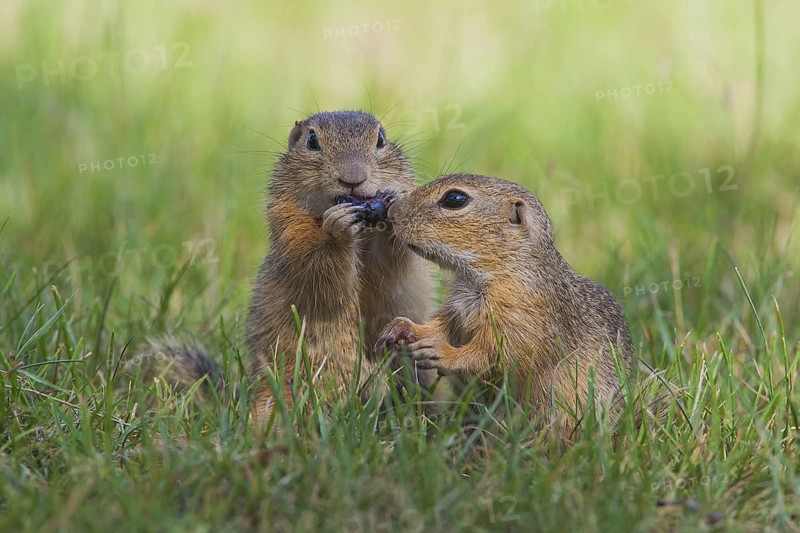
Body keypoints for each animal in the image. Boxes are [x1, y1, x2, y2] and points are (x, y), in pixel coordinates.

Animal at [139, 111, 436, 421]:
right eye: (312, 140)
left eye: (380, 139)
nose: (353, 178)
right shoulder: (292, 230)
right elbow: (320, 268)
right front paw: (338, 229)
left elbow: (391, 264)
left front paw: (396, 197)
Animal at [375, 173, 634, 435]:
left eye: (455, 199)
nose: (393, 211)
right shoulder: (457, 310)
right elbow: (440, 327)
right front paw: (402, 327)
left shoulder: (522, 318)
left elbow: (494, 355)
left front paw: (442, 353)